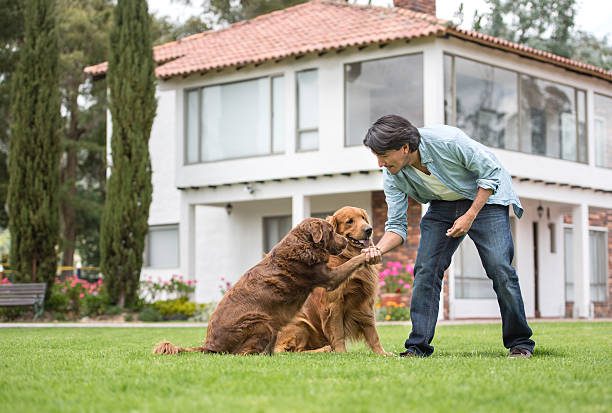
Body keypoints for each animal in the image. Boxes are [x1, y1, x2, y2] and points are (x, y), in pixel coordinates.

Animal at [152, 216, 366, 354]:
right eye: (331, 231)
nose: (345, 241)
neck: (304, 244)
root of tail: (209, 345)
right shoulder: (327, 277)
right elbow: (351, 263)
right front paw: (367, 255)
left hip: (270, 324)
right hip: (260, 321)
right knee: (243, 353)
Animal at [274, 206, 390, 354]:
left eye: (363, 218)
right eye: (349, 221)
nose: (369, 229)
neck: (346, 257)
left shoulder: (365, 302)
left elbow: (373, 333)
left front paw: (382, 353)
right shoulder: (333, 304)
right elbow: (338, 332)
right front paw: (342, 353)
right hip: (300, 323)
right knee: (293, 351)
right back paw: (324, 349)